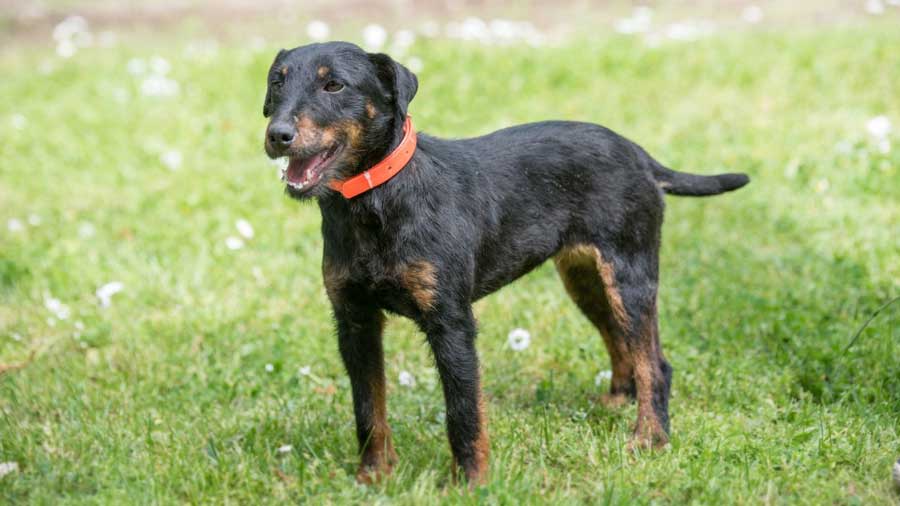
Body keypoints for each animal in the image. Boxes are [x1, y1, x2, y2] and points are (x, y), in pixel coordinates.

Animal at [262, 41, 752, 484]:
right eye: (277, 82)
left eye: (334, 85)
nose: (277, 134)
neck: (377, 199)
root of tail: (639, 155)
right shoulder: (354, 320)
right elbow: (368, 408)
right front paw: (373, 476)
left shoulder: (451, 321)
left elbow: (463, 410)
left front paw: (471, 482)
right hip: (586, 279)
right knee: (621, 343)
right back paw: (617, 403)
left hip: (629, 274)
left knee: (655, 363)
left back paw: (649, 438)